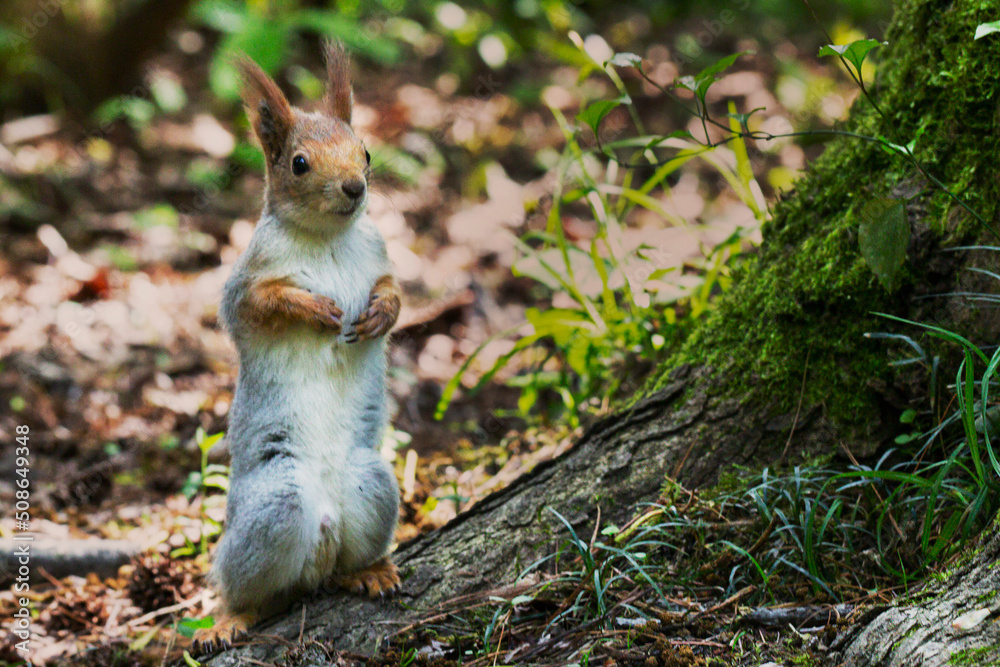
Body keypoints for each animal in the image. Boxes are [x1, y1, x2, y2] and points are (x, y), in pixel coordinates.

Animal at [194, 42, 402, 650]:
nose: (355, 188)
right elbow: (262, 305)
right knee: (248, 589)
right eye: (299, 163)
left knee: (343, 564)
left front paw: (379, 315)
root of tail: (325, 535)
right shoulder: (246, 283)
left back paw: (369, 571)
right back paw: (231, 616)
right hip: (274, 507)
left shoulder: (380, 255)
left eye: (365, 151)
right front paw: (316, 310)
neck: (328, 239)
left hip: (371, 480)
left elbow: (394, 291)